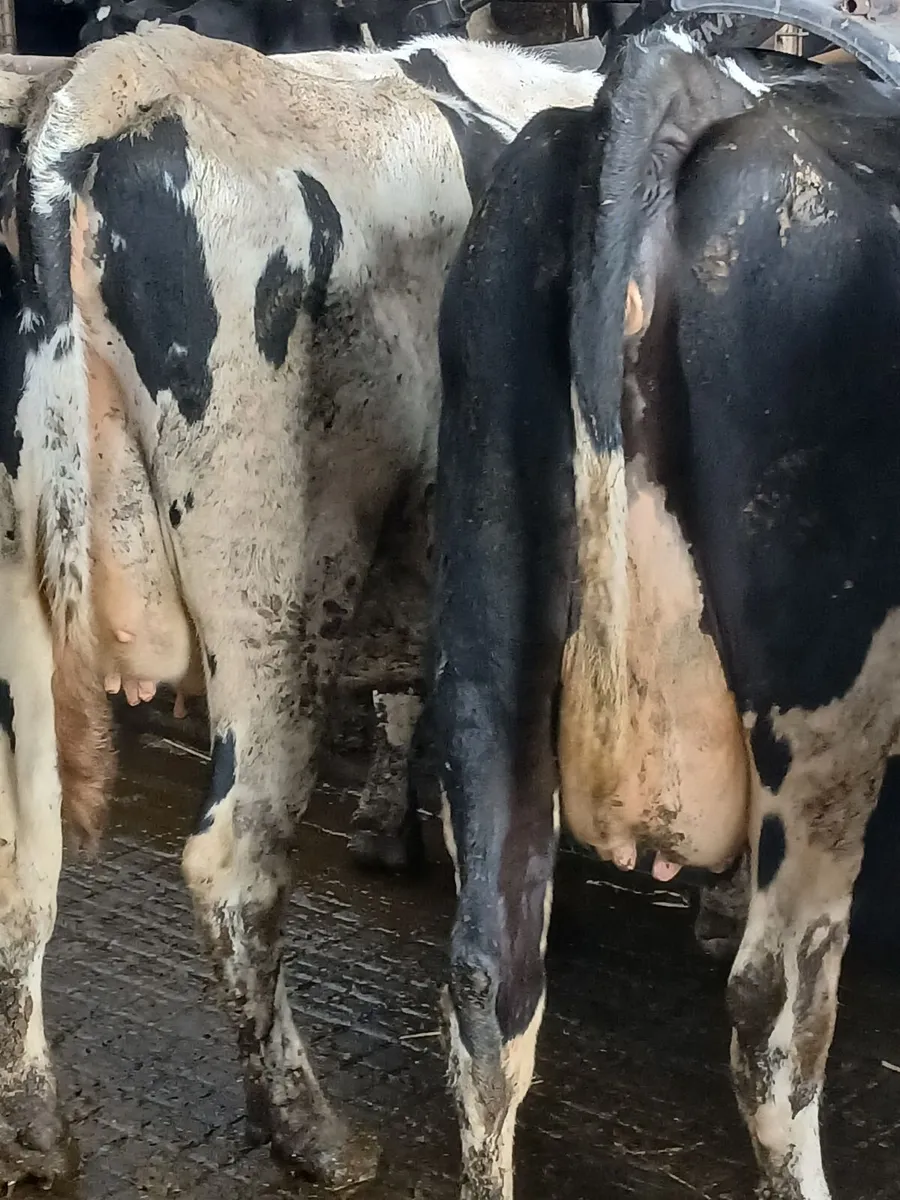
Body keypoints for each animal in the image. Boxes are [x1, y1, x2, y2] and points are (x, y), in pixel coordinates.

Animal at [0, 25, 602, 1187]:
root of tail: (115, 76)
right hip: (273, 594)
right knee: (234, 865)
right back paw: (307, 1127)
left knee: (26, 864)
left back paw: (39, 1126)